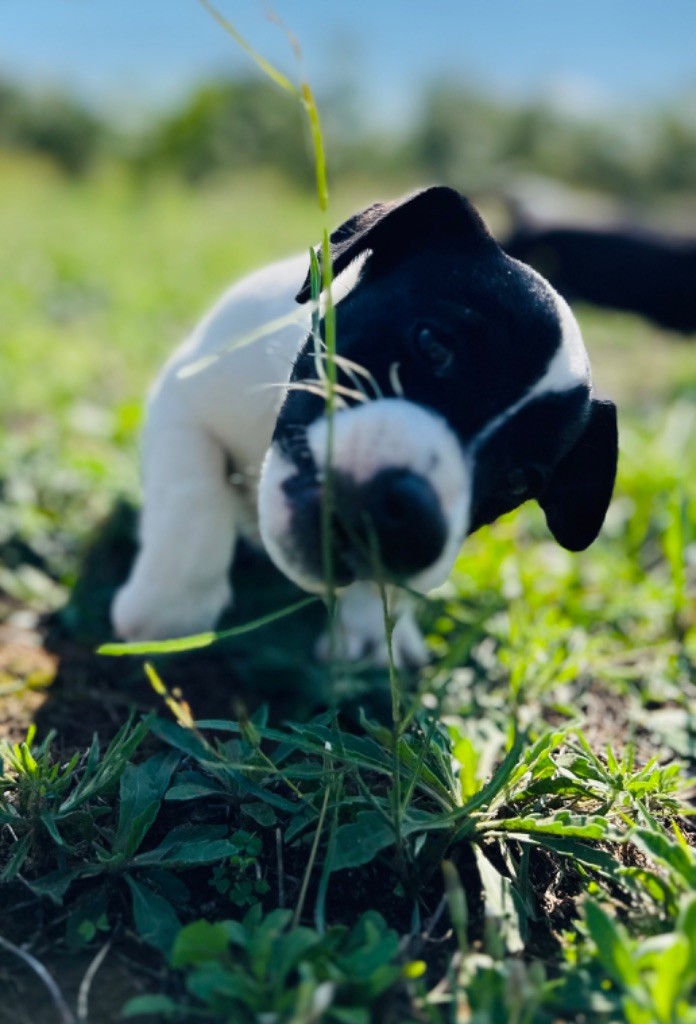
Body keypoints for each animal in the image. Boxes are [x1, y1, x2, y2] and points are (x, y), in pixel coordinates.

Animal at [114, 188, 618, 667]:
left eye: (519, 480)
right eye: (433, 344)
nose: (414, 512)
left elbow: (387, 586)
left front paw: (371, 630)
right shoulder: (183, 400)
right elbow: (192, 493)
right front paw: (172, 607)